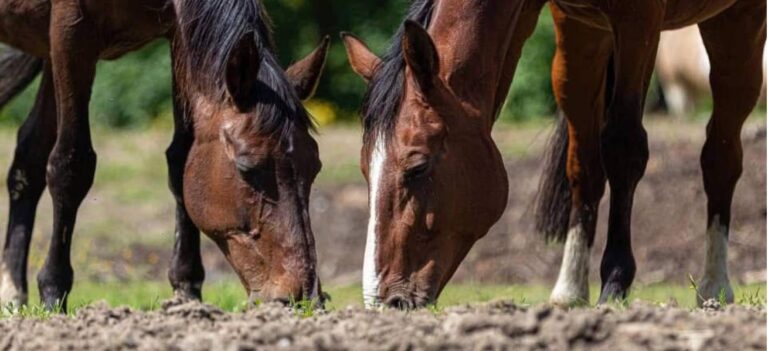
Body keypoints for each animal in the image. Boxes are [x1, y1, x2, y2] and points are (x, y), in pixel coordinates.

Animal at [0, 0, 328, 310]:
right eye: (247, 167)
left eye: (315, 167)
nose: (303, 295)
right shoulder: (70, 31)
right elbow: (71, 165)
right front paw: (54, 292)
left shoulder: (177, 34)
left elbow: (180, 160)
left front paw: (186, 290)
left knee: (28, 158)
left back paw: (12, 292)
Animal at [346, 0, 760, 310]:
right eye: (366, 170)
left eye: (417, 167)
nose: (386, 301)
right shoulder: (578, 29)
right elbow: (585, 166)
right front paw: (570, 290)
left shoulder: (639, 23)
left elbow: (623, 149)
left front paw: (615, 283)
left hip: (738, 24)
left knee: (721, 156)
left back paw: (715, 285)